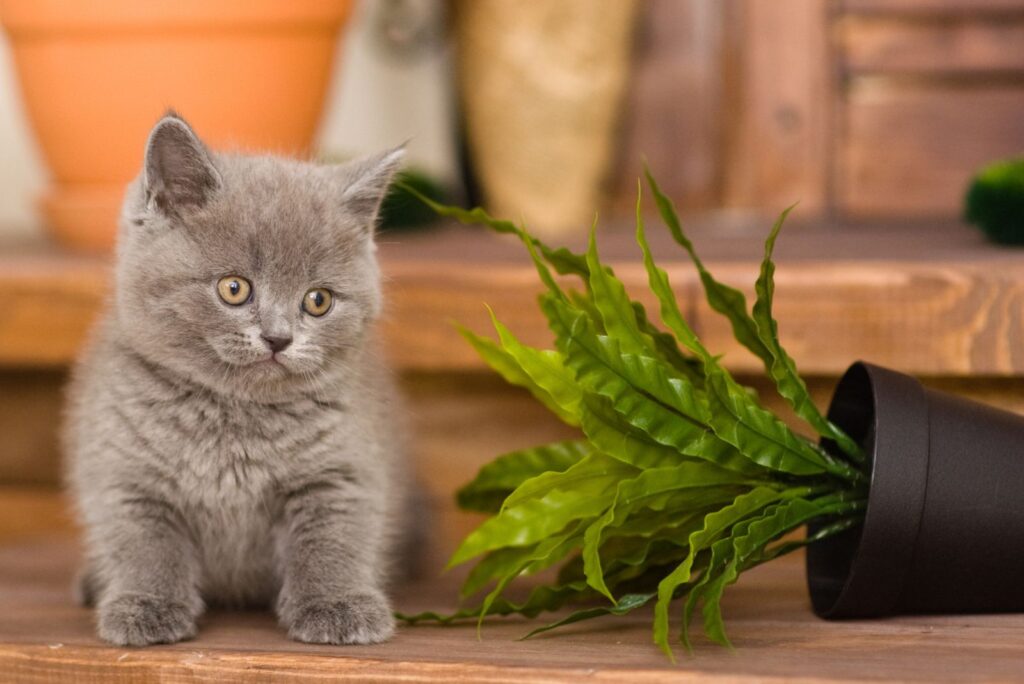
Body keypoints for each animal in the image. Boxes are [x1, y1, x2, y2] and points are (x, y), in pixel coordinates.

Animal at [64, 112, 411, 647]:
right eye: (234, 289)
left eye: (318, 300)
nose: (278, 338)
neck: (234, 413)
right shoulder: (124, 471)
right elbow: (143, 544)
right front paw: (147, 605)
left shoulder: (341, 468)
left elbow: (334, 538)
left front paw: (338, 604)